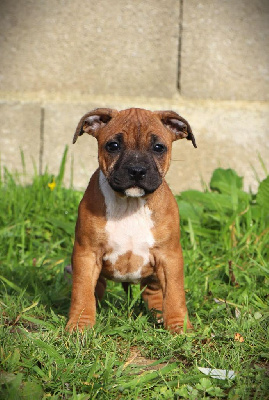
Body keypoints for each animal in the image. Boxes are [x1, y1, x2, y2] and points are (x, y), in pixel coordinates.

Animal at [66, 108, 196, 332]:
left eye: (158, 147)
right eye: (113, 146)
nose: (137, 170)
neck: (130, 204)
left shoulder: (169, 257)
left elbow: (175, 294)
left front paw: (180, 326)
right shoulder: (87, 254)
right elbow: (82, 291)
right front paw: (79, 325)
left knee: (154, 293)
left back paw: (159, 315)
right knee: (95, 290)